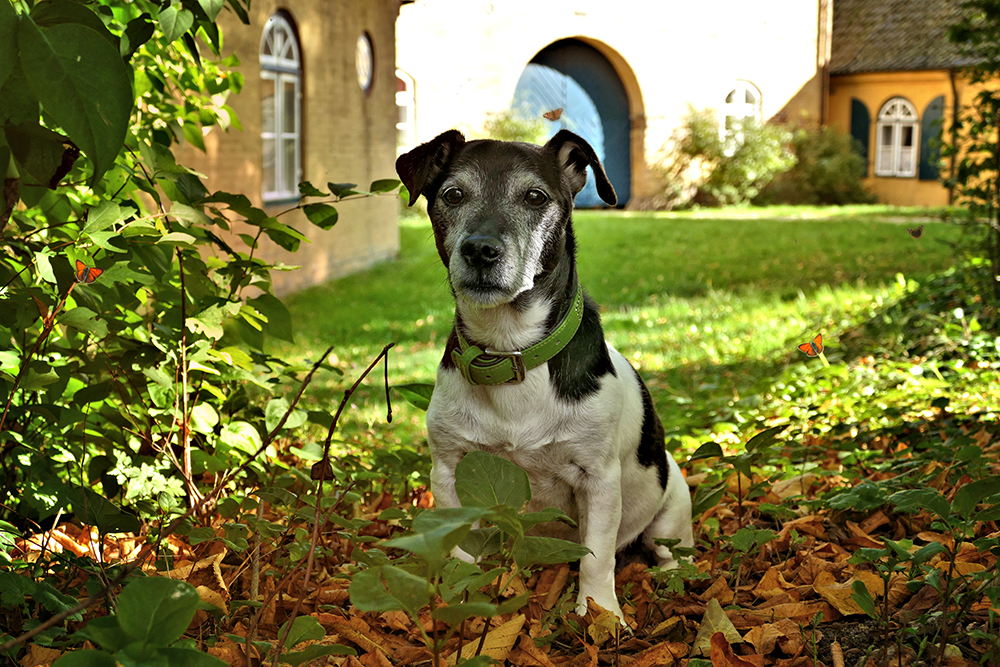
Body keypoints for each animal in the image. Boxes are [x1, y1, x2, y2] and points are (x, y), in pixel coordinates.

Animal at [394, 132, 692, 628]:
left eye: (535, 197)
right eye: (452, 195)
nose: (480, 249)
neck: (512, 351)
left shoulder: (599, 480)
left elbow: (597, 559)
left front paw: (600, 614)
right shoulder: (449, 470)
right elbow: (460, 548)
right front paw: (462, 600)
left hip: (672, 503)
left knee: (668, 549)